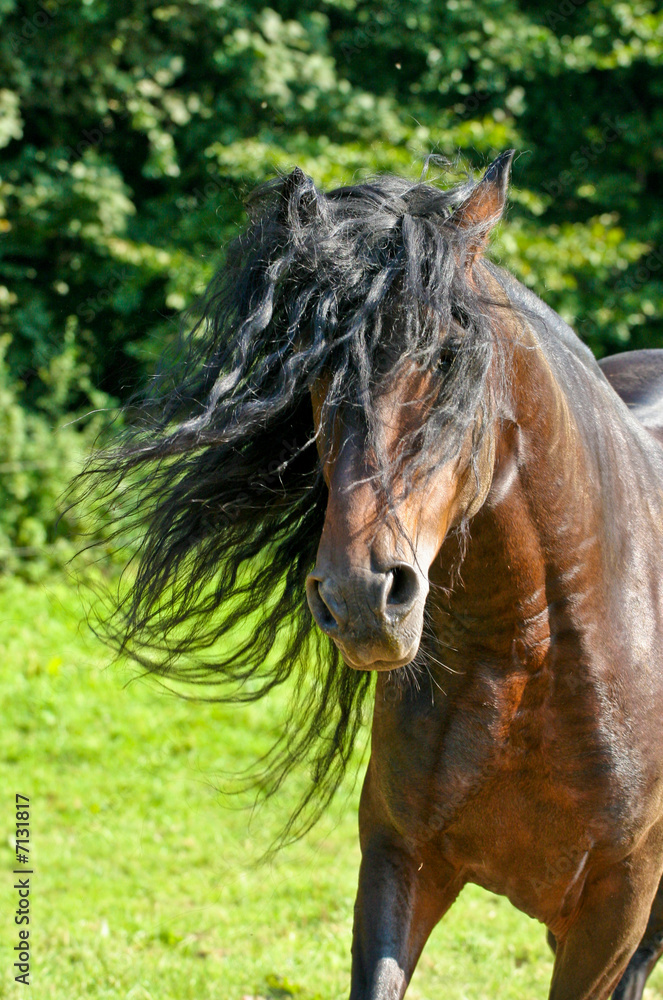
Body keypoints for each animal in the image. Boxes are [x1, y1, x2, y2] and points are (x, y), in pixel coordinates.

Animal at [89, 152, 663, 1000]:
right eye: (314, 369)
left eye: (448, 355)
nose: (360, 598)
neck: (532, 653)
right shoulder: (400, 862)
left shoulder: (612, 911)